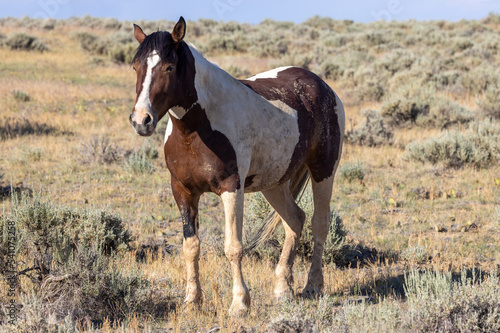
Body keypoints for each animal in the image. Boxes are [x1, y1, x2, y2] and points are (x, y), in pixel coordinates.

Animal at [129, 16, 344, 314]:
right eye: (135, 66)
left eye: (169, 67)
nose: (141, 120)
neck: (197, 129)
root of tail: (323, 87)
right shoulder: (182, 190)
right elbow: (191, 246)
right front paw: (191, 301)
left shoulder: (231, 188)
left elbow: (233, 247)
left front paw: (240, 303)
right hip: (274, 184)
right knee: (295, 221)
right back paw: (283, 289)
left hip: (324, 171)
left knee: (319, 223)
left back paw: (312, 286)